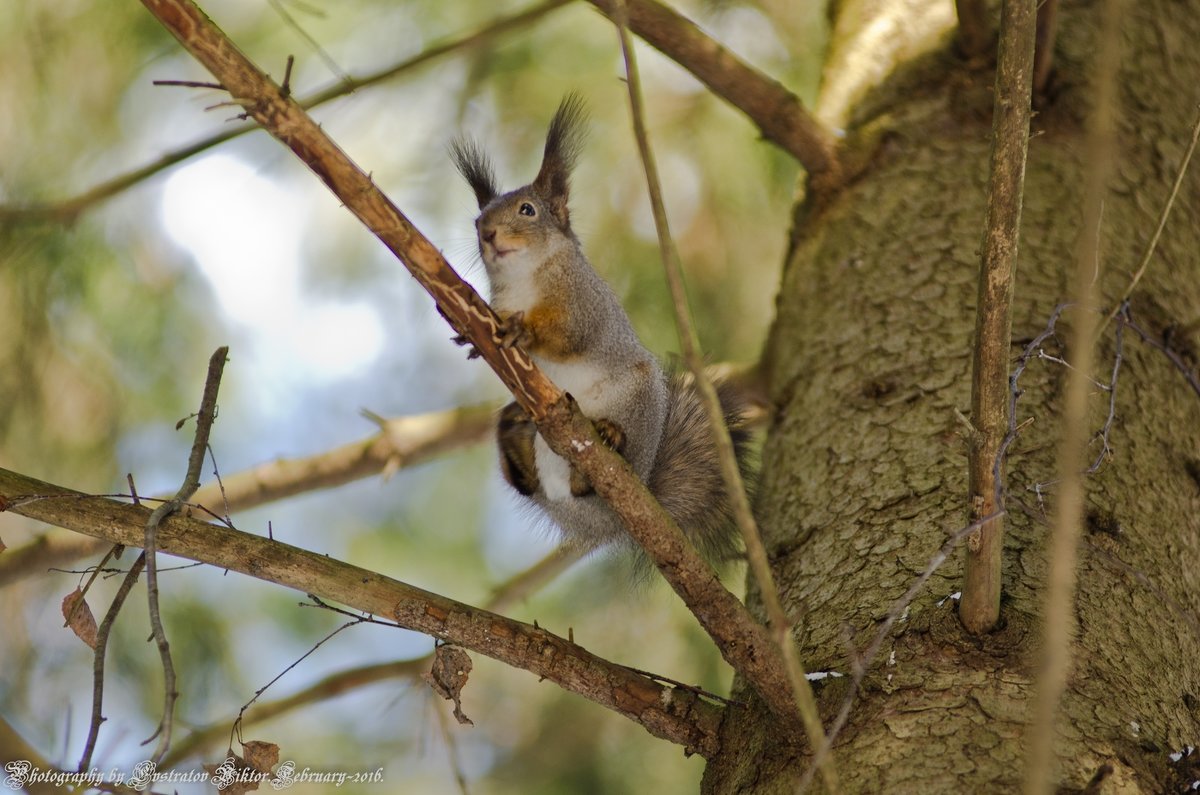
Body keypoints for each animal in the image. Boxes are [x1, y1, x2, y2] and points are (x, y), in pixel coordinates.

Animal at [451, 96, 748, 574]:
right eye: (479, 218)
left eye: (528, 210)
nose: (488, 234)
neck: (523, 279)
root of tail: (610, 524)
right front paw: (472, 333)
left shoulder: (585, 304)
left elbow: (568, 335)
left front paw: (520, 328)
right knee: (529, 483)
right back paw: (515, 439)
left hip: (635, 407)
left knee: (593, 478)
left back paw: (609, 439)